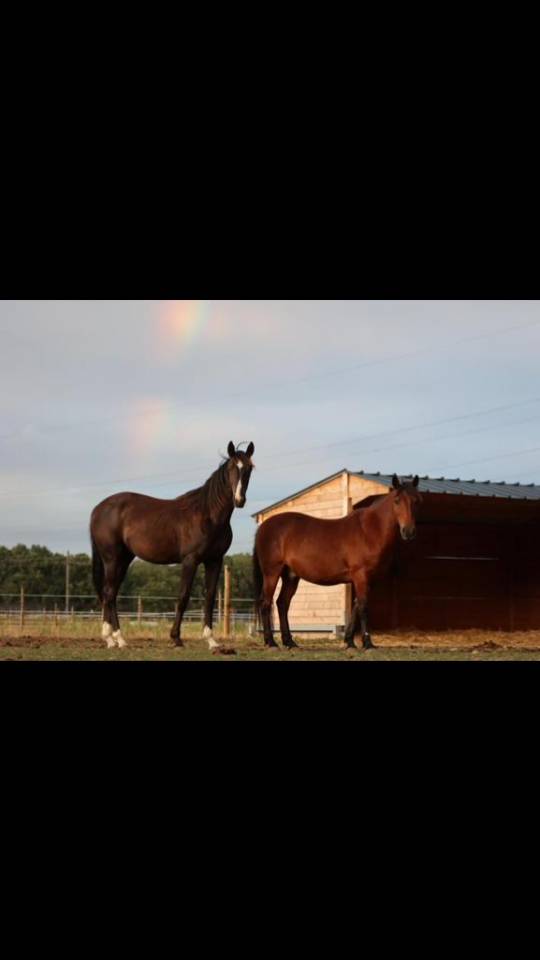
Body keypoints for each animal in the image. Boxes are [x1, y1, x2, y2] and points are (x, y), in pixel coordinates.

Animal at [90, 441, 255, 651]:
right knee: (109, 593)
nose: (239, 500)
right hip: (112, 559)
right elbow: (183, 596)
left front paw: (211, 640)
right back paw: (112, 639)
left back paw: (118, 639)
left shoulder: (215, 560)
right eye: (232, 467)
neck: (208, 515)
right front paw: (176, 638)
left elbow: (209, 598)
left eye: (249, 468)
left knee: (111, 594)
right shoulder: (190, 560)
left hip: (124, 559)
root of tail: (97, 509)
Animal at [253, 474, 422, 651]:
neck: (369, 531)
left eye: (417, 500)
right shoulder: (360, 576)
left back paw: (290, 642)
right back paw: (271, 642)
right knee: (266, 603)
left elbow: (356, 607)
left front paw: (350, 642)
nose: (408, 532)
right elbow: (363, 607)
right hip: (272, 573)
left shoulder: (367, 579)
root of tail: (263, 527)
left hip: (291, 576)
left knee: (282, 603)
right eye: (397, 500)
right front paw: (368, 643)